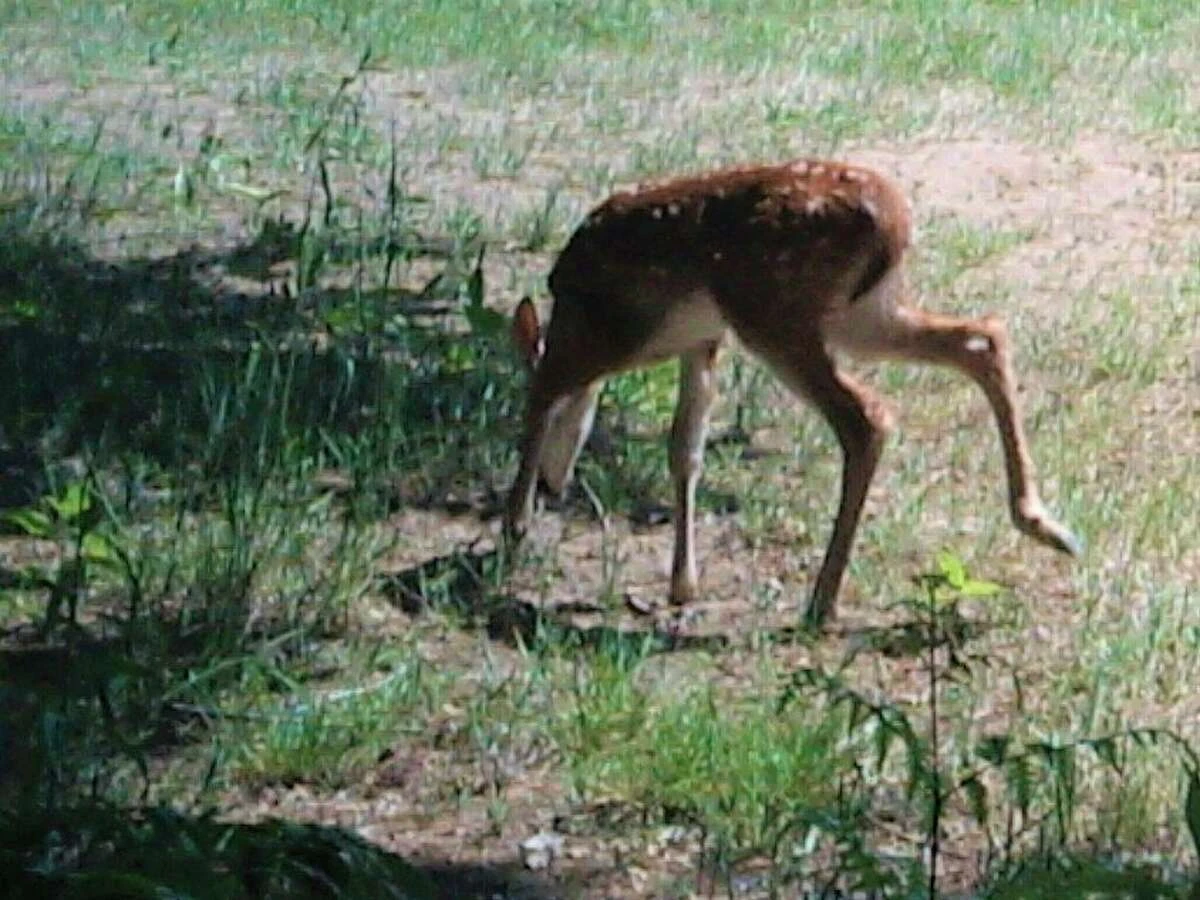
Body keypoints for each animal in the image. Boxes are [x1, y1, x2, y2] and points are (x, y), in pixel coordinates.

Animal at [502, 159, 1080, 628]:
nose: (555, 483)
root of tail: (895, 222)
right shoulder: (702, 341)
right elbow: (685, 449)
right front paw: (682, 585)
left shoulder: (614, 335)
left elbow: (541, 397)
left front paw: (514, 531)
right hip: (860, 314)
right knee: (983, 337)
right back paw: (1045, 524)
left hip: (775, 312)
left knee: (867, 417)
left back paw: (822, 602)